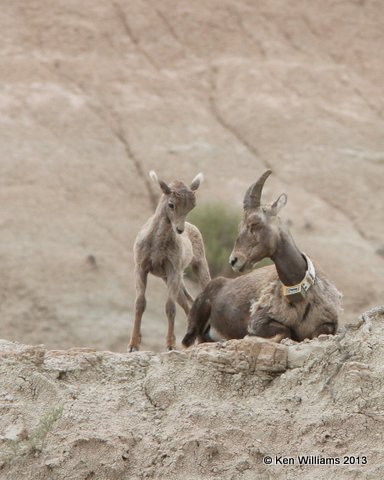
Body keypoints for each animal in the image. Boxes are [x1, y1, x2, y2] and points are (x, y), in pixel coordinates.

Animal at [128, 171, 210, 350]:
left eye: (191, 206)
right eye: (171, 204)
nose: (179, 229)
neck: (156, 243)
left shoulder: (173, 271)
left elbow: (170, 308)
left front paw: (170, 345)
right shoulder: (141, 268)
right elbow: (140, 303)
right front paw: (133, 345)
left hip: (197, 268)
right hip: (175, 281)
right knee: (188, 306)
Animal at [183, 171, 342, 346]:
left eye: (254, 223)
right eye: (240, 226)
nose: (234, 260)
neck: (299, 290)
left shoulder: (328, 324)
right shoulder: (258, 321)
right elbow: (284, 331)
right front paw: (248, 337)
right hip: (197, 318)